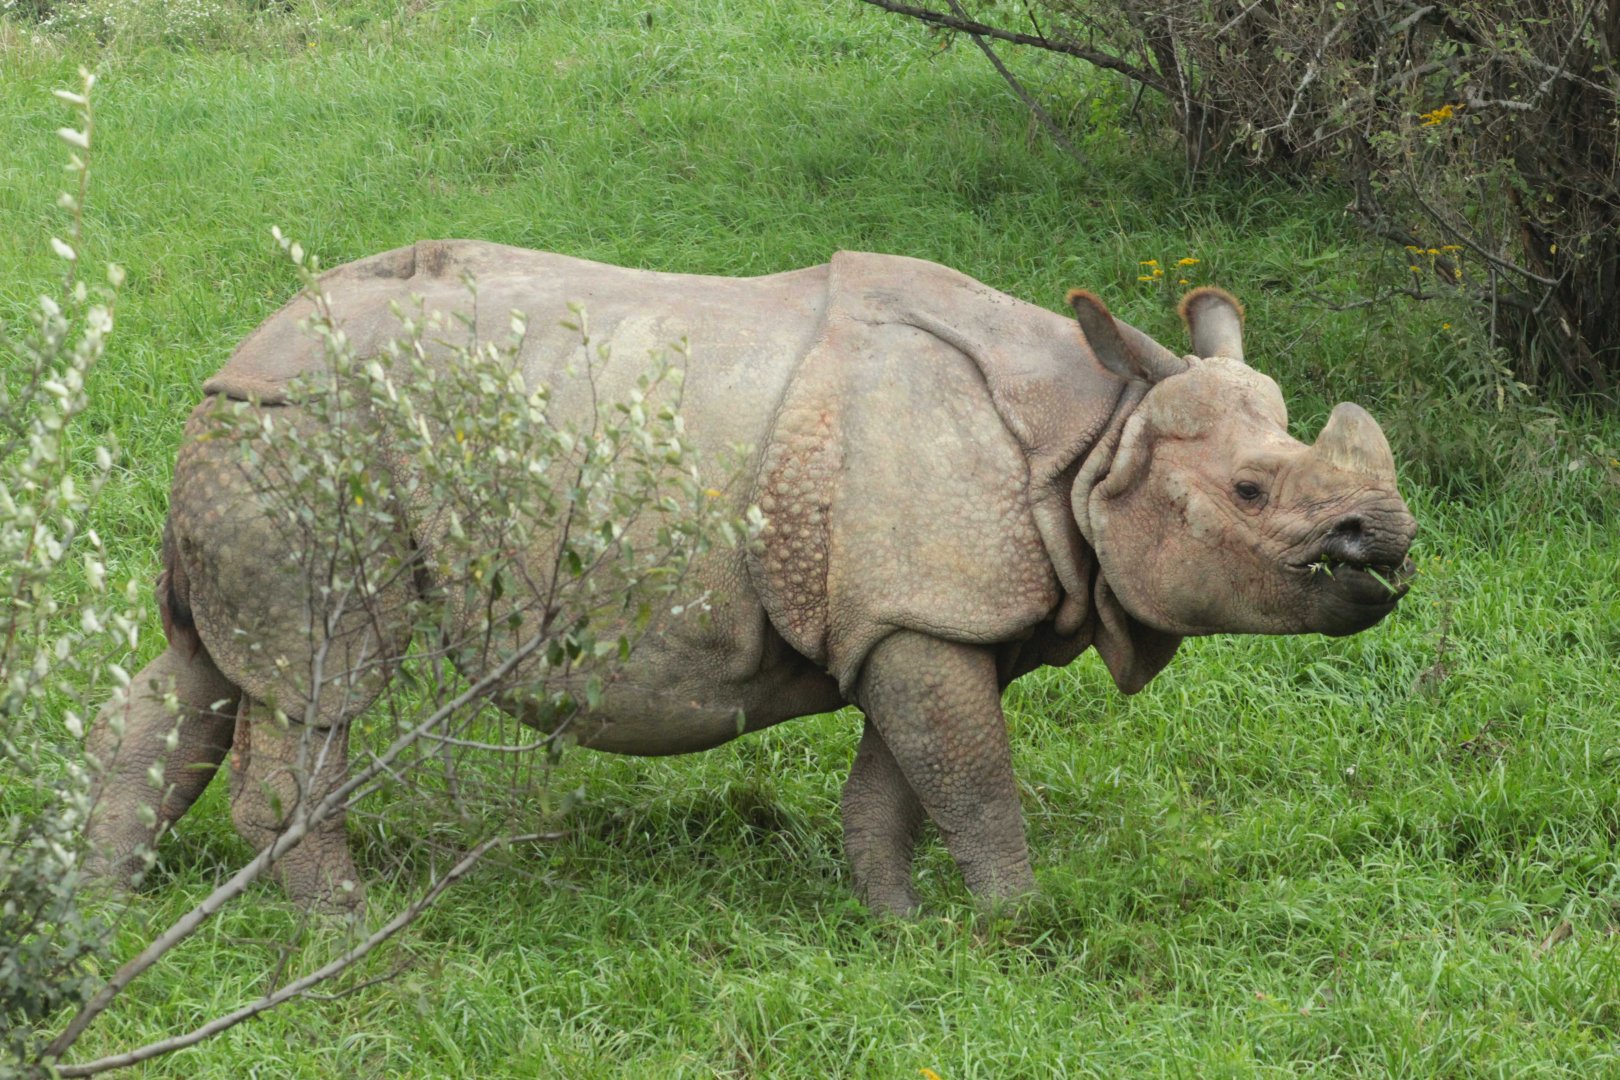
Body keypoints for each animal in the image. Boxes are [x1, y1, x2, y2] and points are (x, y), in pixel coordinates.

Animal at [85, 242, 1416, 916]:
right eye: (1252, 493)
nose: (1392, 542)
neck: (1097, 437)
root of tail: (242, 348)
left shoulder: (906, 617)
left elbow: (901, 785)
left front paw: (900, 927)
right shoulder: (925, 610)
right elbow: (975, 784)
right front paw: (1018, 927)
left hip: (263, 435)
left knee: (204, 666)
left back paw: (104, 913)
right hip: (316, 435)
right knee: (323, 679)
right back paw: (343, 929)